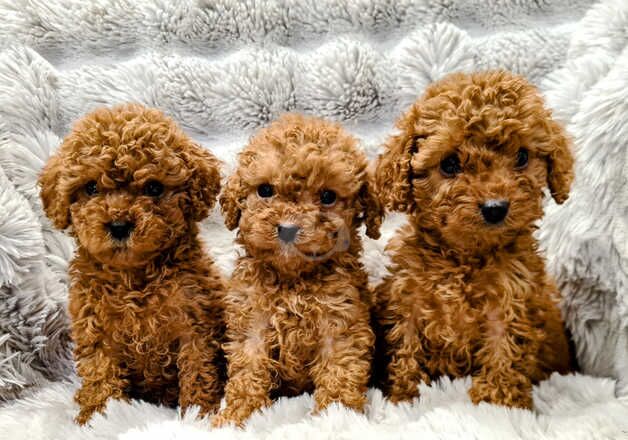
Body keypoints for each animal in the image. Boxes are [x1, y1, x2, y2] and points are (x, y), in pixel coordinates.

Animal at [39, 104, 226, 426]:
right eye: (91, 187)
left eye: (153, 187)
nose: (119, 225)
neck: (133, 277)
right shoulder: (95, 328)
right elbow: (100, 373)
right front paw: (99, 416)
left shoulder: (194, 325)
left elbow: (198, 370)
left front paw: (198, 413)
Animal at [213, 112, 382, 426]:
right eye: (265, 190)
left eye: (327, 196)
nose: (288, 229)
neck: (292, 280)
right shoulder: (252, 319)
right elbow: (248, 366)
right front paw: (238, 414)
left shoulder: (339, 318)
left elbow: (339, 368)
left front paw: (336, 415)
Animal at [372, 70, 576, 410]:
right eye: (449, 164)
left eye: (522, 156)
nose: (495, 207)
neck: (464, 257)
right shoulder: (408, 298)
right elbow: (406, 346)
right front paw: (405, 396)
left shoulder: (510, 299)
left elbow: (503, 350)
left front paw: (497, 402)